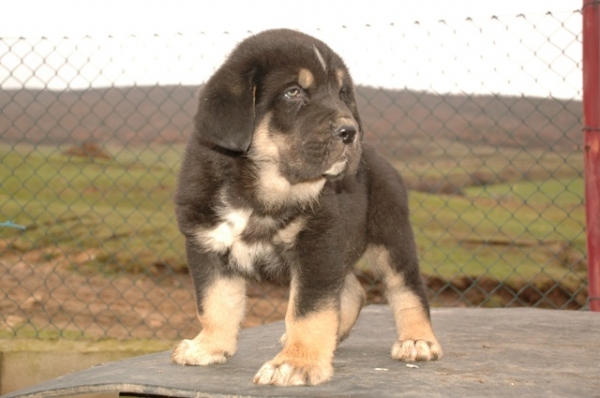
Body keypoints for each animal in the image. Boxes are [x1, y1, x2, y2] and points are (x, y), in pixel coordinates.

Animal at [171, 27, 442, 386]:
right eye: (294, 92)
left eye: (342, 92)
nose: (350, 131)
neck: (260, 191)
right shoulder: (207, 245)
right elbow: (214, 302)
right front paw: (209, 347)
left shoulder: (317, 244)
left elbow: (307, 310)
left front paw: (297, 362)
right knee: (352, 291)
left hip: (392, 236)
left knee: (407, 289)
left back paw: (417, 340)